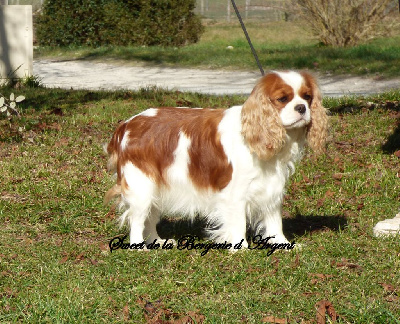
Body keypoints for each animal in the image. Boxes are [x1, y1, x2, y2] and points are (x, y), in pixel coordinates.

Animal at [105, 71, 328, 248]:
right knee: (137, 218)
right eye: (282, 99)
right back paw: (139, 246)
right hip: (141, 185)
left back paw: (157, 241)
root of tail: (126, 125)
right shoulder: (235, 192)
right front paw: (240, 248)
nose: (301, 108)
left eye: (307, 97)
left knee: (150, 217)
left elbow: (274, 221)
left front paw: (283, 244)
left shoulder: (271, 187)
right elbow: (238, 222)